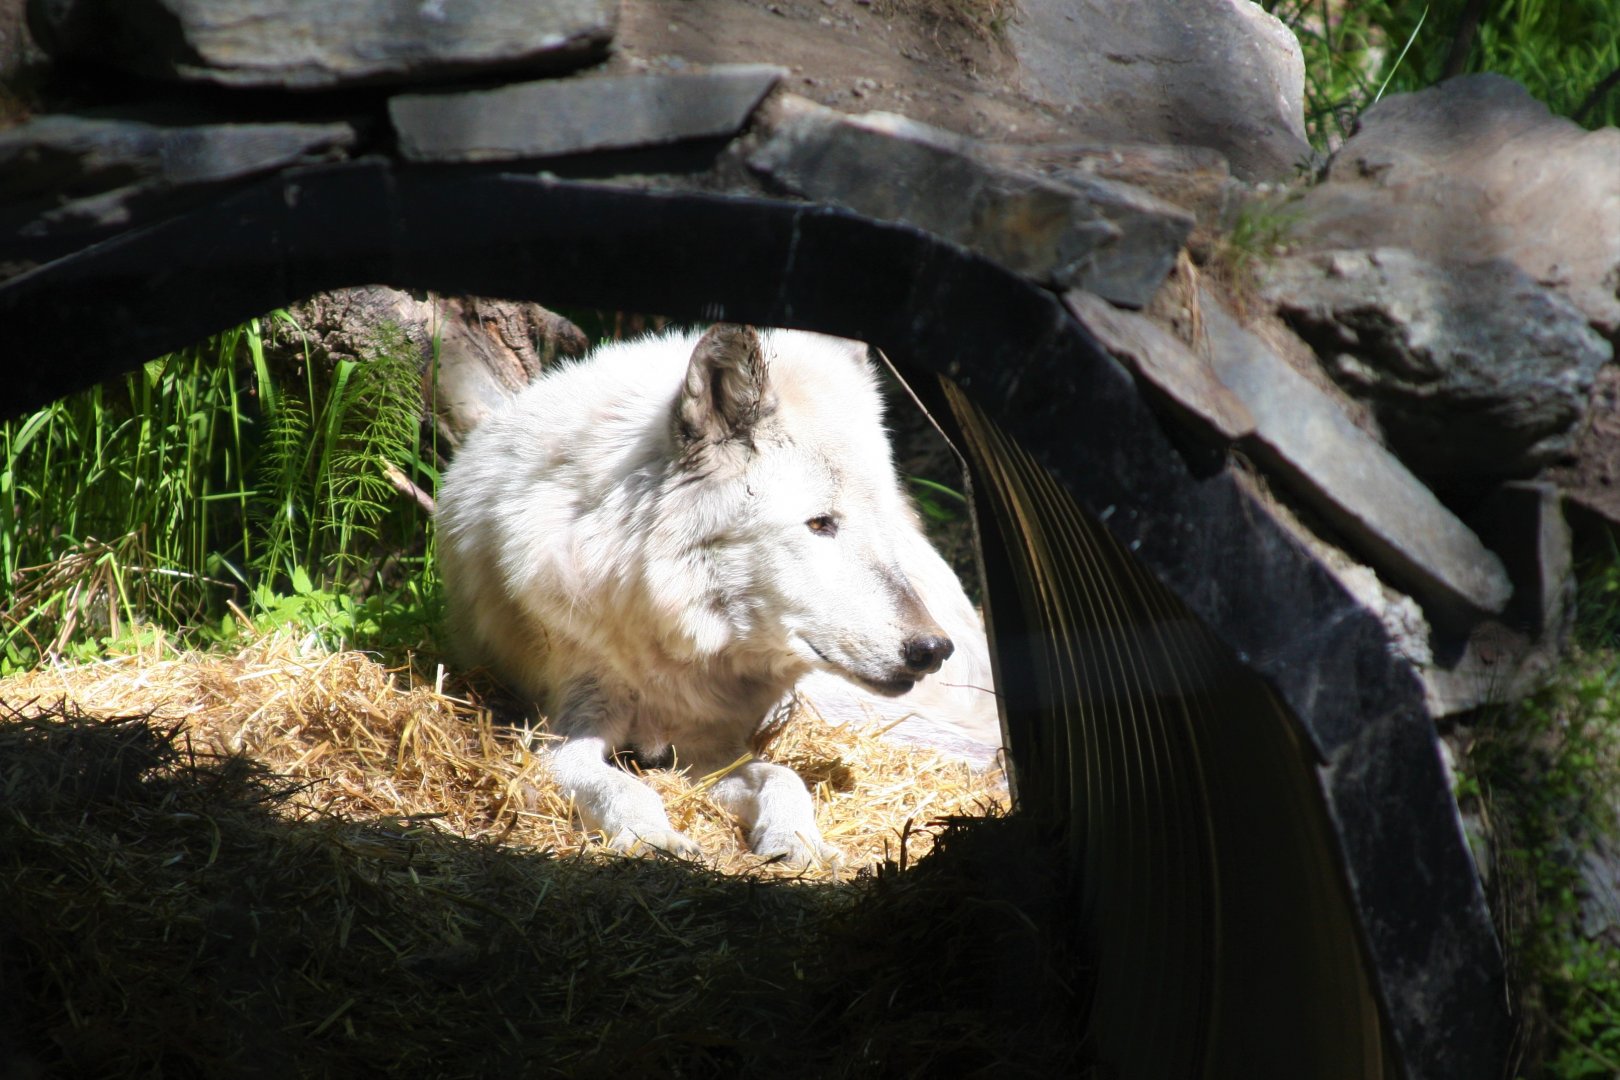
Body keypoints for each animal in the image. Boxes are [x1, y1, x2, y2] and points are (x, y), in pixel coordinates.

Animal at [436, 324, 967, 865]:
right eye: (821, 523)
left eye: (880, 523)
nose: (933, 649)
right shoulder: (560, 729)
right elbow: (625, 786)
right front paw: (655, 838)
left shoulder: (705, 745)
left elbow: (784, 776)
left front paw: (798, 842)